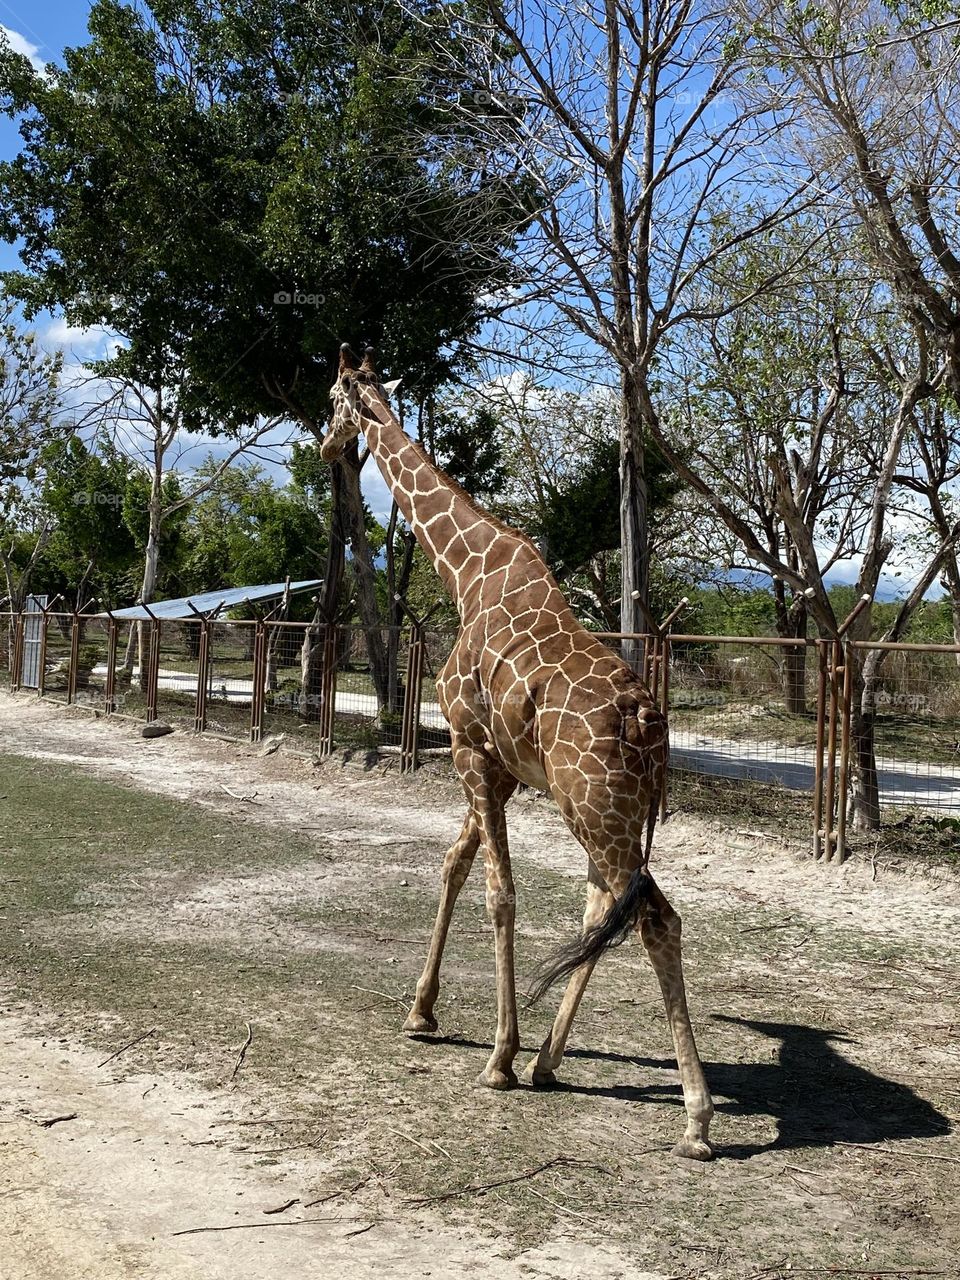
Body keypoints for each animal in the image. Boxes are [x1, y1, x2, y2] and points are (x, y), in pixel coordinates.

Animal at [322, 344, 714, 1160]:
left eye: (331, 398)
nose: (324, 446)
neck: (464, 570)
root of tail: (647, 720)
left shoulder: (468, 747)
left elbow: (498, 893)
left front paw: (496, 1056)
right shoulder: (496, 765)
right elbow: (455, 863)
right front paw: (424, 1014)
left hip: (593, 807)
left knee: (653, 919)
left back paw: (694, 1117)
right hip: (614, 812)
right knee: (605, 910)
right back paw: (548, 1062)